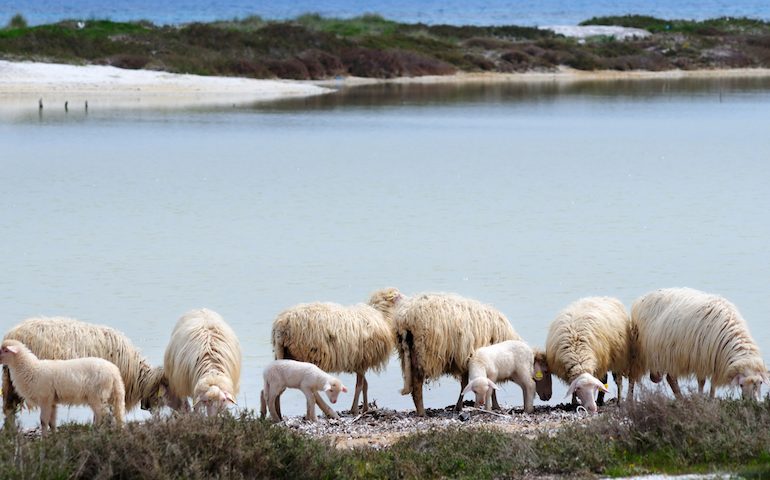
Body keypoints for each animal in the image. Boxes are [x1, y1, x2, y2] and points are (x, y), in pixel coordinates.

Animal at [270, 286, 400, 414]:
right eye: (398, 297)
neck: (382, 315)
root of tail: (282, 325)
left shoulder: (359, 362)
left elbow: (365, 385)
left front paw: (365, 408)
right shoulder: (362, 360)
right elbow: (359, 386)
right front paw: (355, 410)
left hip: (284, 355)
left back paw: (278, 414)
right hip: (306, 356)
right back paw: (328, 411)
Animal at [396, 292, 552, 416]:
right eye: (545, 371)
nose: (548, 396)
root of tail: (406, 319)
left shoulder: (466, 360)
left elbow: (465, 384)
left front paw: (459, 406)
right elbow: (488, 386)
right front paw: (495, 406)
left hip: (409, 354)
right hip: (423, 354)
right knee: (417, 386)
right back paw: (422, 412)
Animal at [628, 286, 764, 400]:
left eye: (760, 383)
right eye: (741, 384)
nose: (754, 402)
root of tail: (642, 298)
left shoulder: (715, 361)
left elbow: (713, 384)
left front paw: (710, 400)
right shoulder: (701, 360)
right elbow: (702, 382)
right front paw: (700, 399)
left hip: (669, 356)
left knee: (670, 378)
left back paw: (680, 399)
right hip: (643, 352)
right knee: (634, 377)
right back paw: (630, 401)